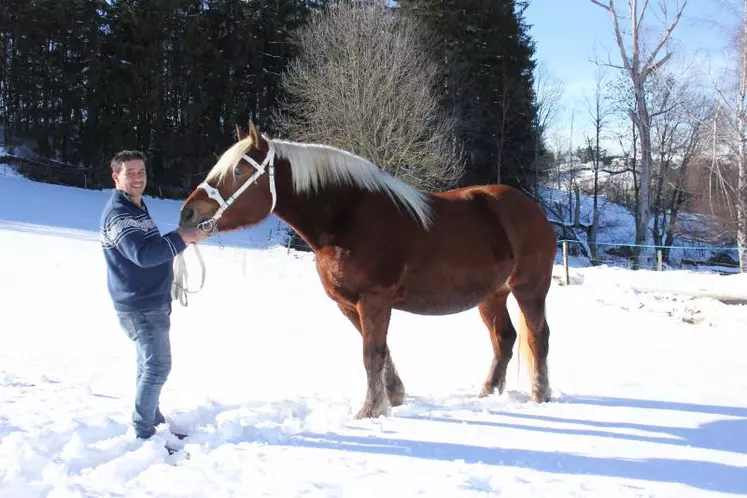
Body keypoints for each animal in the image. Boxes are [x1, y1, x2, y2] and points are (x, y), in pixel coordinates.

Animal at [180, 122, 556, 418]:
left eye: (239, 171)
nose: (188, 214)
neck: (348, 220)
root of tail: (532, 209)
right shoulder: (349, 304)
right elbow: (380, 350)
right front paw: (395, 397)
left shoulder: (374, 300)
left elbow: (371, 353)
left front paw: (370, 410)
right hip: (492, 295)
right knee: (504, 339)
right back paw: (488, 392)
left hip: (529, 290)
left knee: (537, 336)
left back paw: (540, 395)